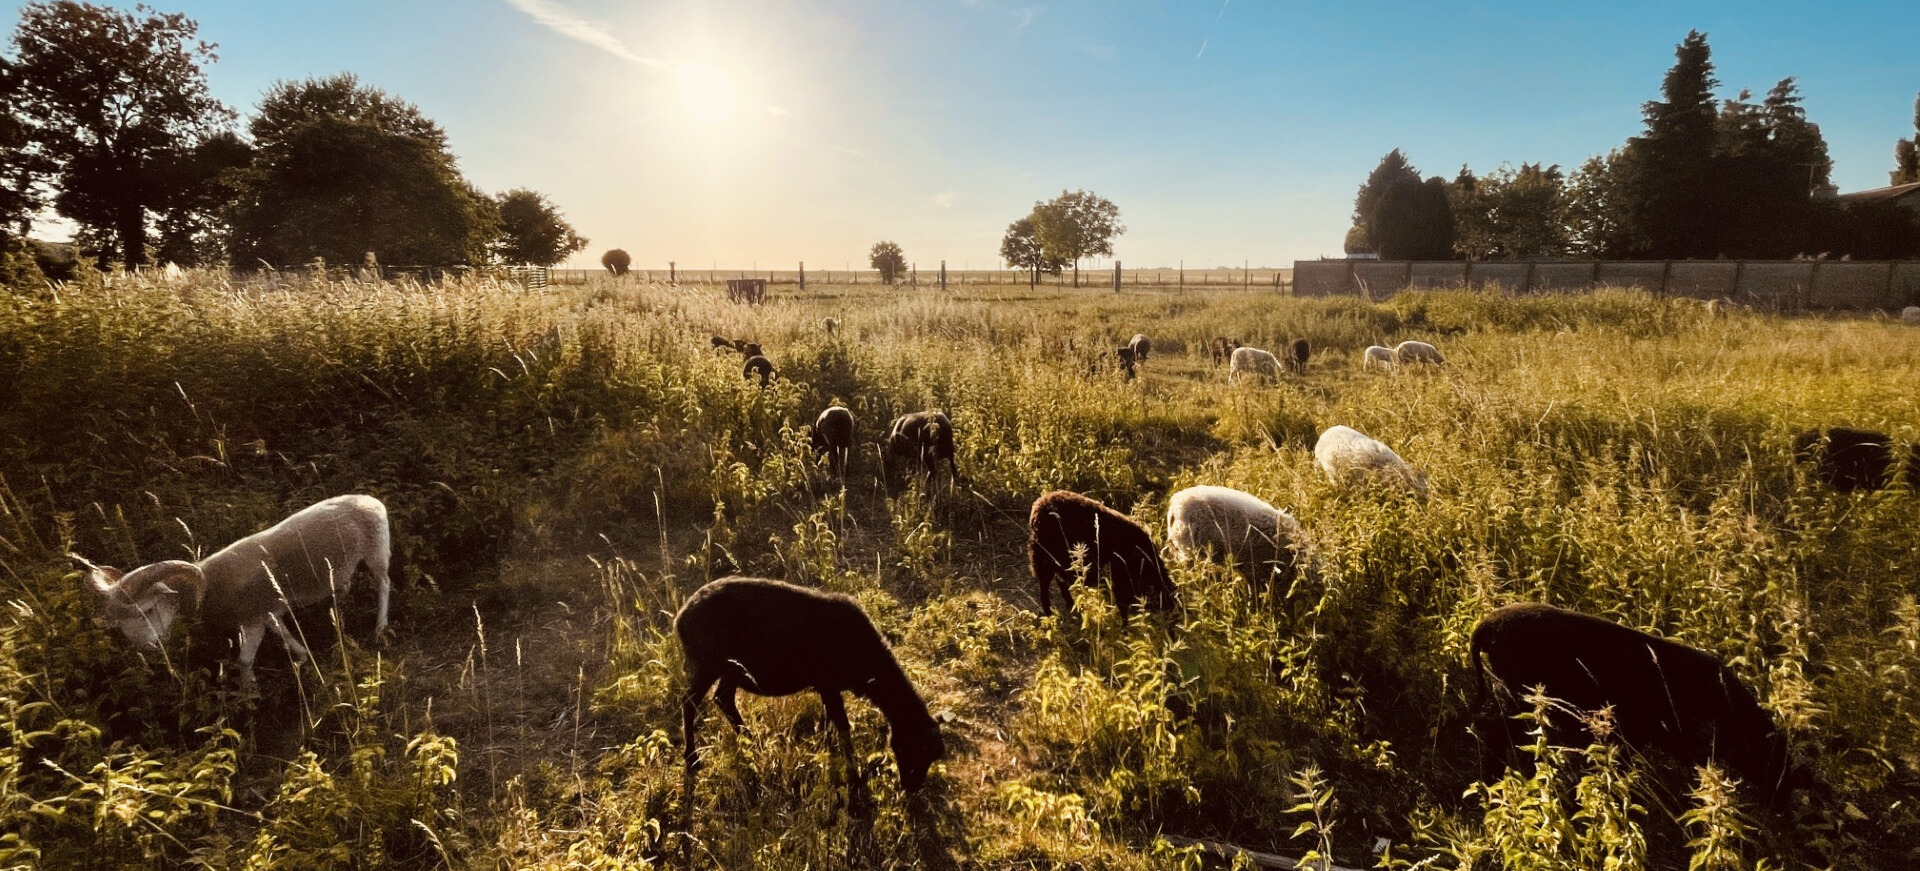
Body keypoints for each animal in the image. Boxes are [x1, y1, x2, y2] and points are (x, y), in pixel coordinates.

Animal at [72, 494, 391, 688]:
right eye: (117, 624)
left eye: (148, 609)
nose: (146, 648)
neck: (210, 586)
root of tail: (370, 500)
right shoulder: (267, 611)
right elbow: (283, 632)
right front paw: (301, 655)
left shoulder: (252, 619)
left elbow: (244, 661)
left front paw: (250, 695)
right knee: (347, 584)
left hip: (376, 552)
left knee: (384, 584)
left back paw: (379, 628)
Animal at [677, 576, 946, 794]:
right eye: (917, 749)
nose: (911, 789)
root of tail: (681, 617)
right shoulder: (828, 683)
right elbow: (842, 723)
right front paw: (854, 775)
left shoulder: (827, 687)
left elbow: (829, 719)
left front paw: (827, 748)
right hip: (708, 663)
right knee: (690, 702)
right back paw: (693, 759)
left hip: (731, 668)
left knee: (723, 699)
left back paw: (751, 741)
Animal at [1028, 490, 1176, 618]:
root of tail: (1038, 505)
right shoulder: (1121, 577)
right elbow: (1122, 604)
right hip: (1044, 558)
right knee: (1045, 586)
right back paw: (1049, 613)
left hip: (1058, 560)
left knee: (1060, 581)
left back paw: (1070, 604)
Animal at [1471, 602, 1798, 808]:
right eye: (1771, 759)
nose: (1782, 805)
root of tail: (1484, 626)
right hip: (1520, 696)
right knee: (1496, 732)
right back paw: (1491, 784)